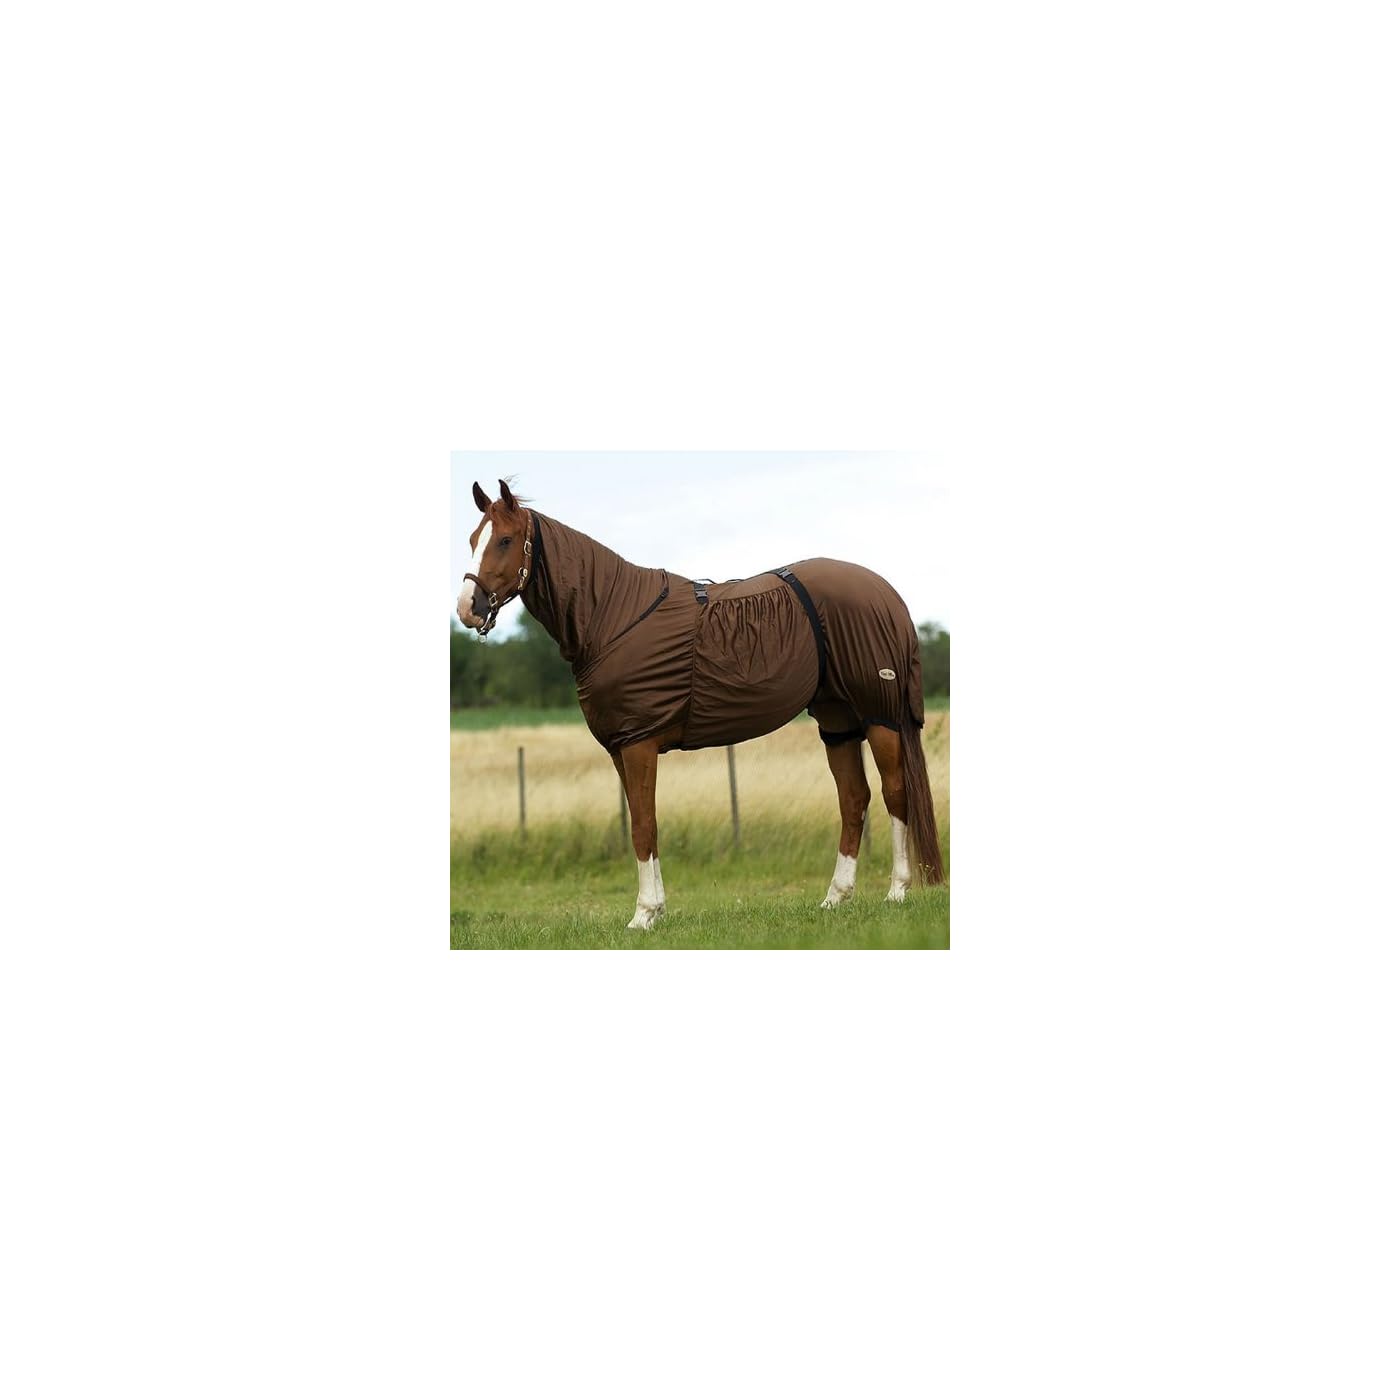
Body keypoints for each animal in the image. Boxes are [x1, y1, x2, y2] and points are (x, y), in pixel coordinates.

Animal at [457, 478, 945, 930]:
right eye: (472, 539)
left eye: (505, 540)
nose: (468, 608)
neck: (612, 616)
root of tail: (886, 593)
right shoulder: (622, 747)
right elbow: (643, 823)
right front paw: (655, 910)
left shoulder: (638, 744)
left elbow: (643, 825)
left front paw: (643, 915)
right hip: (837, 721)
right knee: (853, 798)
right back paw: (835, 898)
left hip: (880, 716)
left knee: (894, 793)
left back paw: (897, 891)